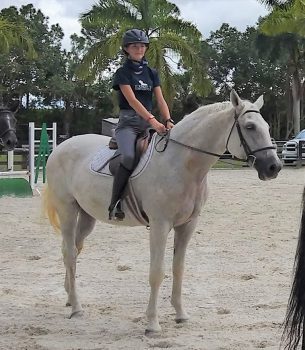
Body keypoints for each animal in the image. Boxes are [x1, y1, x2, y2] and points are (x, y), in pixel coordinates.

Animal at [44, 89, 282, 334]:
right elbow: (157, 273)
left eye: (267, 126)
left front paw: (181, 314)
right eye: (250, 126)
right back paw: (76, 308)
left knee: (73, 250)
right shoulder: (160, 225)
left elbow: (179, 268)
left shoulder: (187, 225)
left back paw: (69, 297)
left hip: (87, 216)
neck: (182, 163)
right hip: (67, 210)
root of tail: (60, 148)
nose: (274, 167)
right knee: (70, 253)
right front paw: (152, 324)